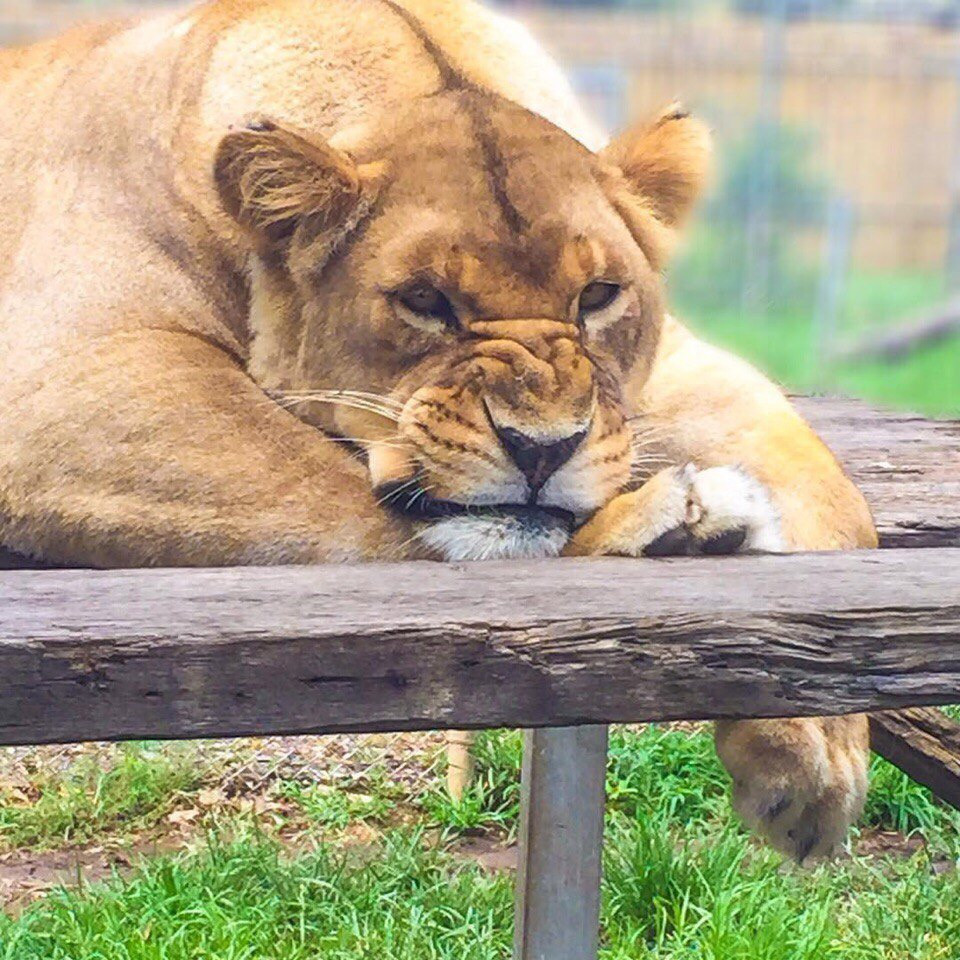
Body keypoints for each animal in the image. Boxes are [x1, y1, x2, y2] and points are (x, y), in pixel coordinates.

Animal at [0, 0, 876, 864]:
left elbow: (832, 495)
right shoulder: (69, 371)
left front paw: (816, 764)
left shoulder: (671, 372)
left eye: (598, 295)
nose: (541, 447)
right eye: (424, 301)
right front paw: (662, 524)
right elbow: (336, 494)